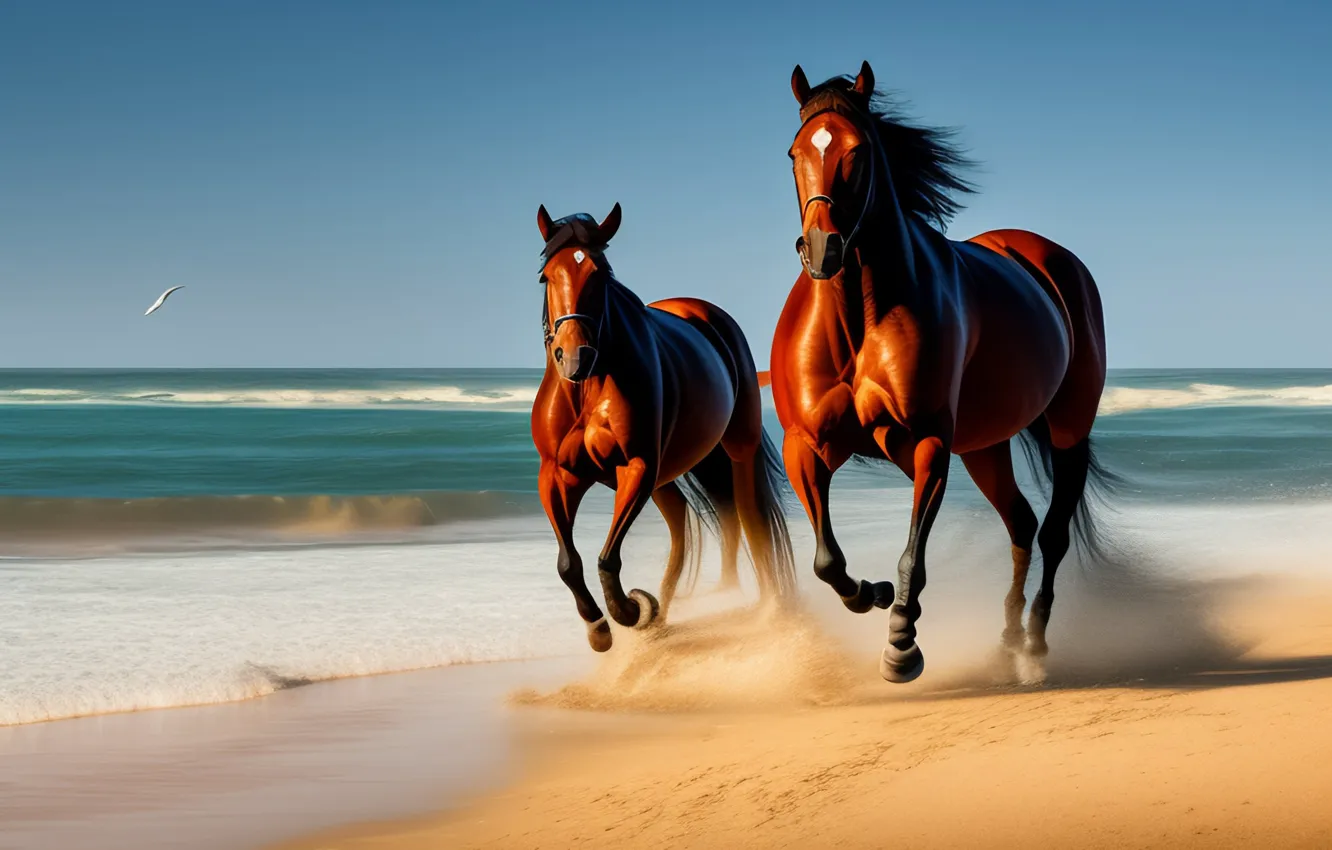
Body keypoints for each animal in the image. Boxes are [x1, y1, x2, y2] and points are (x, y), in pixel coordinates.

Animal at [531, 202, 798, 652]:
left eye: (600, 276)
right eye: (546, 276)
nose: (575, 357)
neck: (589, 390)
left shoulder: (636, 467)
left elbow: (607, 558)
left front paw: (627, 610)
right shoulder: (558, 474)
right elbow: (569, 562)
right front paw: (601, 628)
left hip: (734, 451)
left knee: (750, 516)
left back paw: (767, 606)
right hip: (667, 477)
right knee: (688, 524)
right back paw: (666, 612)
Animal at [769, 61, 1115, 683]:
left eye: (858, 150)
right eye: (794, 153)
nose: (822, 248)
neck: (859, 316)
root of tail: (1048, 257)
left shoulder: (925, 441)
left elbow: (914, 554)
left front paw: (901, 644)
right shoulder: (806, 444)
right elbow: (828, 561)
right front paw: (874, 593)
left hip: (1068, 429)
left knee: (1052, 534)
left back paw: (1034, 643)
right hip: (985, 446)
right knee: (1022, 524)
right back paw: (1006, 640)